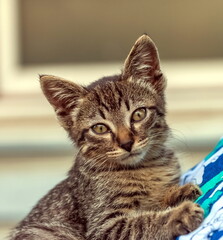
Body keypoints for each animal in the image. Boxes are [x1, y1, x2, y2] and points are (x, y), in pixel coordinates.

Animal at [9, 34, 203, 240]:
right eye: (100, 128)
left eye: (139, 114)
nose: (127, 143)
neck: (146, 167)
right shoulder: (104, 226)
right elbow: (141, 222)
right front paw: (180, 213)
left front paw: (178, 193)